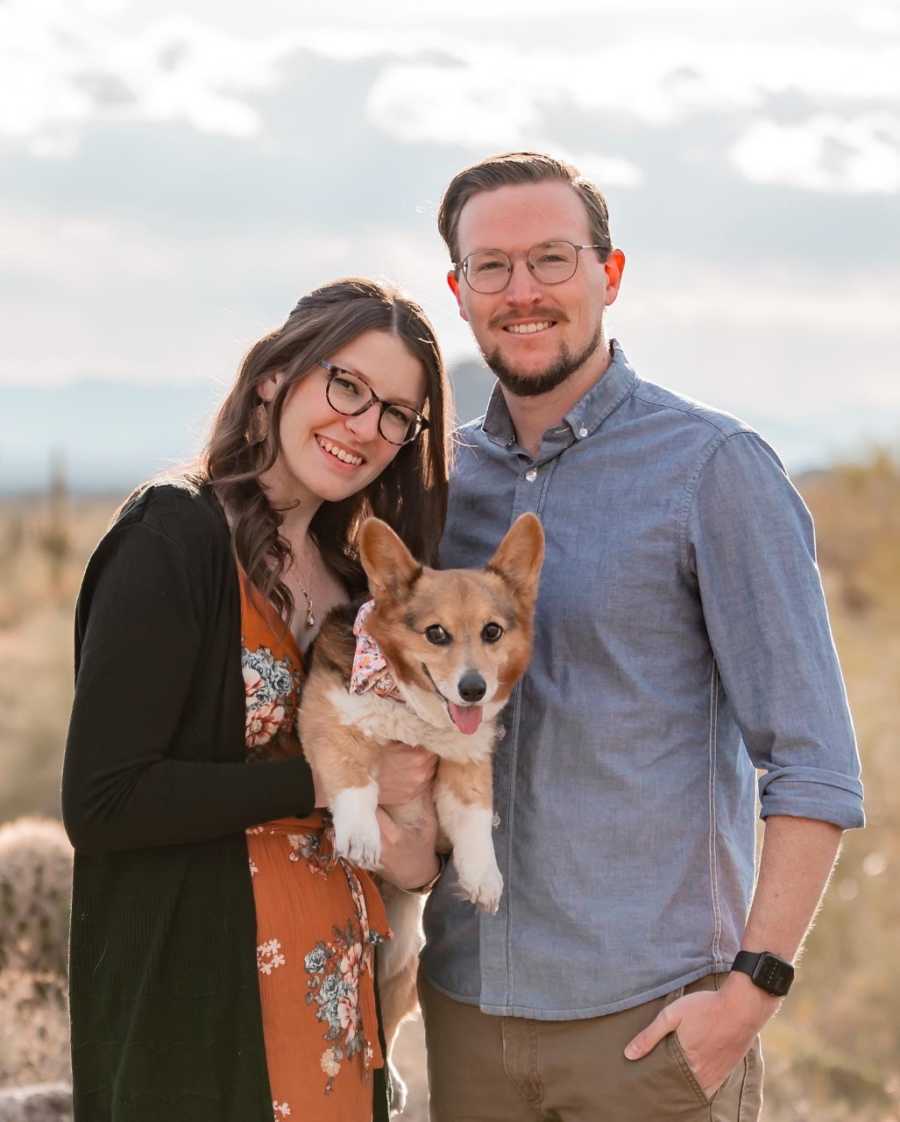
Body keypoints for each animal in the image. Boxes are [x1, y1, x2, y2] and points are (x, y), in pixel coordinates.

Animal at [298, 513, 543, 1113]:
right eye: (436, 634)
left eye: (492, 632)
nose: (473, 690)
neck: (413, 708)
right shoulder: (326, 719)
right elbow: (353, 775)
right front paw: (361, 836)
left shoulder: (465, 763)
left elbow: (475, 819)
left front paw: (484, 878)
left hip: (401, 960)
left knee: (386, 1024)